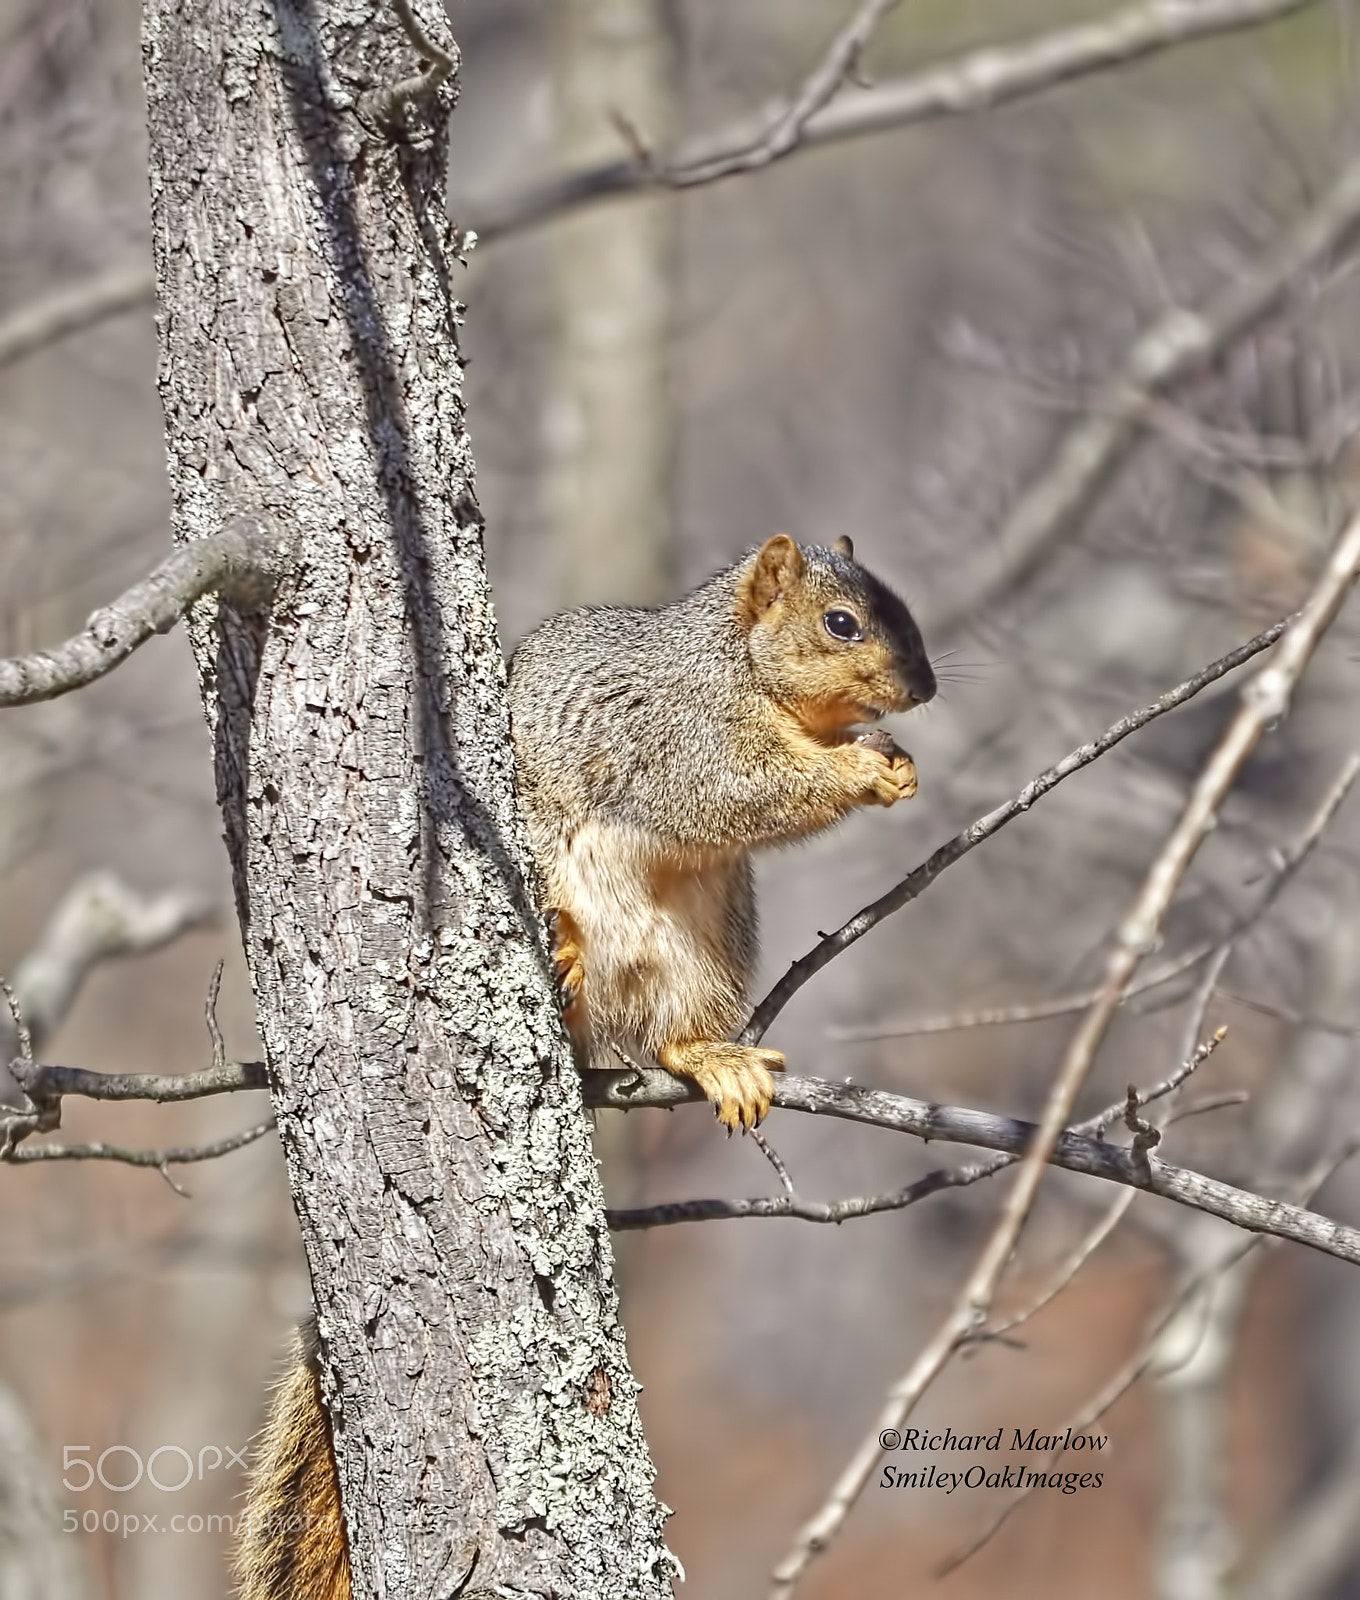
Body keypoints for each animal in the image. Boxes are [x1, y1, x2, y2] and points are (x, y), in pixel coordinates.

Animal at [236, 533, 933, 1598]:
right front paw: (865, 769)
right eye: (842, 623)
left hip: (708, 943)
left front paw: (894, 760)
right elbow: (741, 789)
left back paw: (710, 1055)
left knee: (675, 1029)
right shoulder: (680, 737)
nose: (924, 688)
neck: (739, 672)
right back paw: (561, 954)